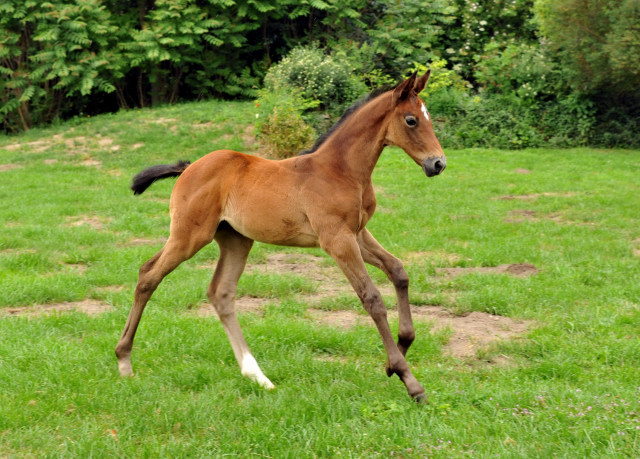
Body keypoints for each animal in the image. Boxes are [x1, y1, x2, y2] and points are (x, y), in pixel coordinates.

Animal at [115, 71, 444, 402]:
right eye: (411, 120)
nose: (438, 163)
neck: (341, 170)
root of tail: (187, 168)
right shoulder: (337, 239)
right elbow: (372, 298)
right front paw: (409, 380)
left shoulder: (358, 234)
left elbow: (398, 271)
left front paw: (397, 355)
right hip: (189, 236)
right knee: (148, 275)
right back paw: (124, 361)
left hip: (235, 239)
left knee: (220, 292)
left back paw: (257, 376)